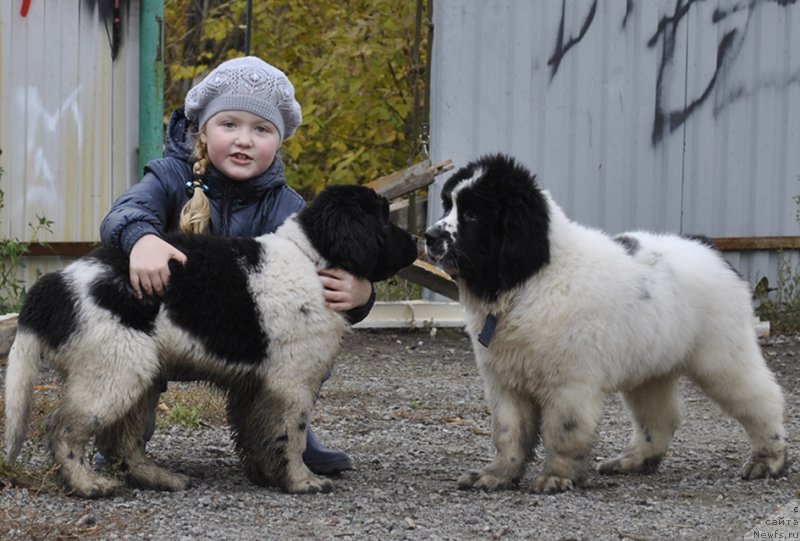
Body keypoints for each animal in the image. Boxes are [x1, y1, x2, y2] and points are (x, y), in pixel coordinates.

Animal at [4, 185, 418, 498]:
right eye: (383, 218)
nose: (417, 241)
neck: (313, 258)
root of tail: (51, 290)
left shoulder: (258, 385)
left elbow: (260, 433)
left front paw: (268, 475)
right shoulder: (291, 382)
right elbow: (291, 435)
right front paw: (301, 481)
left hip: (138, 373)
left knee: (122, 439)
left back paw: (158, 477)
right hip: (115, 369)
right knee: (63, 429)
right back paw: (87, 484)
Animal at [424, 153, 788, 494]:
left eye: (473, 215)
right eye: (448, 205)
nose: (428, 236)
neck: (531, 281)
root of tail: (710, 248)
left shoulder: (570, 383)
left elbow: (563, 431)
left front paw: (556, 476)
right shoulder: (506, 382)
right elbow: (509, 433)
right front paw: (497, 475)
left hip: (723, 356)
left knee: (762, 397)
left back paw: (768, 460)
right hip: (651, 369)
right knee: (660, 417)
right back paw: (633, 461)